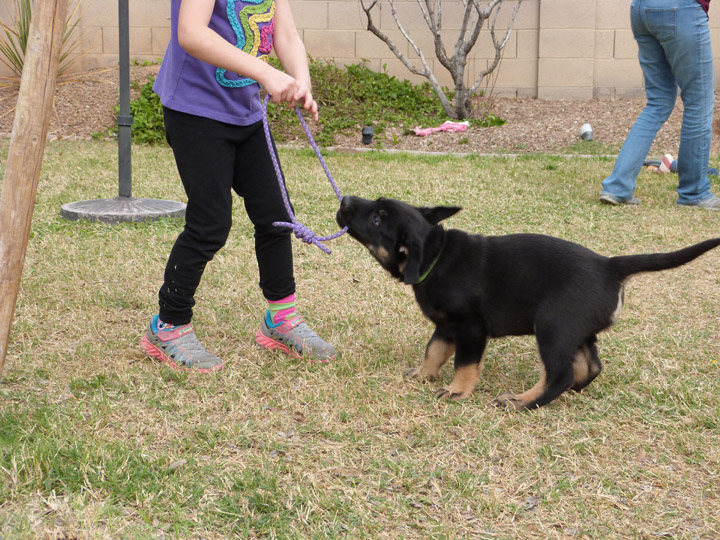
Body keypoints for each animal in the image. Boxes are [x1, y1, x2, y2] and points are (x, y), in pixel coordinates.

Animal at [338, 196, 720, 412]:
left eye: (377, 218)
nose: (345, 200)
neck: (435, 255)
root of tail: (609, 266)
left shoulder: (469, 329)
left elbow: (464, 364)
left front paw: (457, 392)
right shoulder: (446, 327)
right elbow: (433, 352)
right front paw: (423, 375)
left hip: (551, 325)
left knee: (560, 373)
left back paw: (523, 402)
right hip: (574, 330)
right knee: (586, 367)